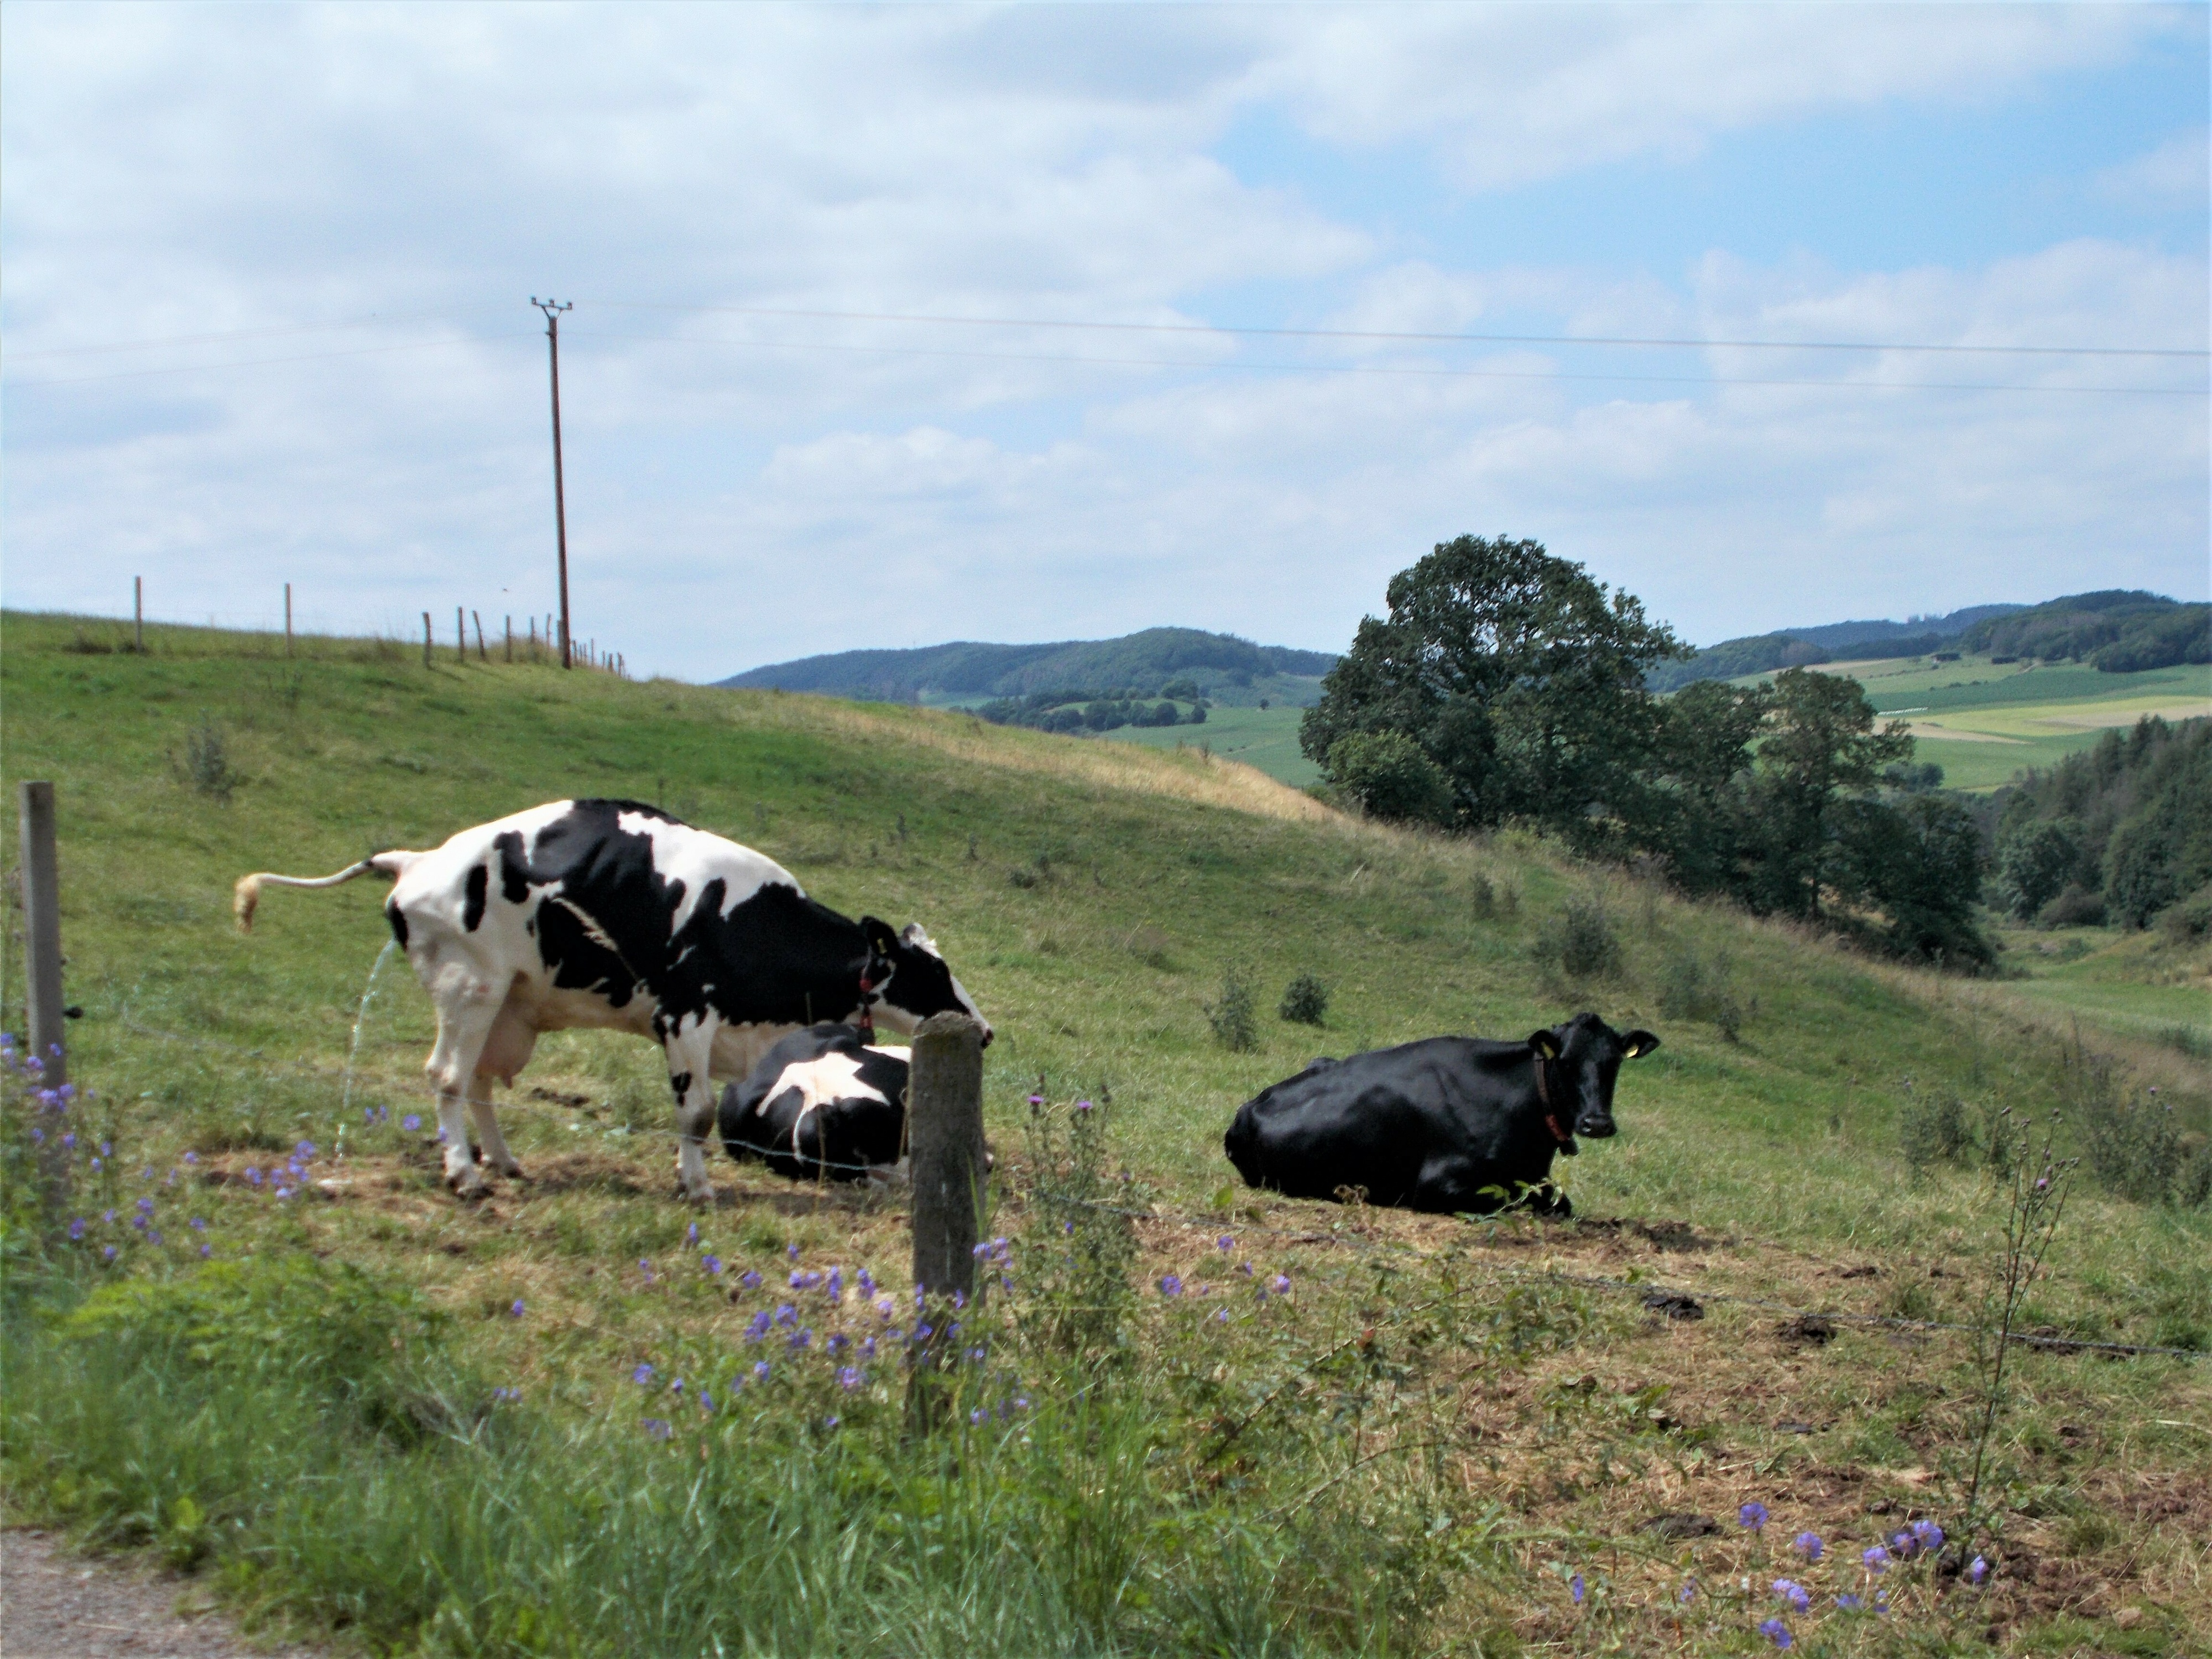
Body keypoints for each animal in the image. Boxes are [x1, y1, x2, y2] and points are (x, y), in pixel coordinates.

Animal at [1221, 1013, 1658, 1218]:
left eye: (1615, 1062)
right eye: (1565, 1061)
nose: (1597, 1123)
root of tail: (1247, 1109)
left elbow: (1559, 1203)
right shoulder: (1438, 1186)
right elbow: (1511, 1201)